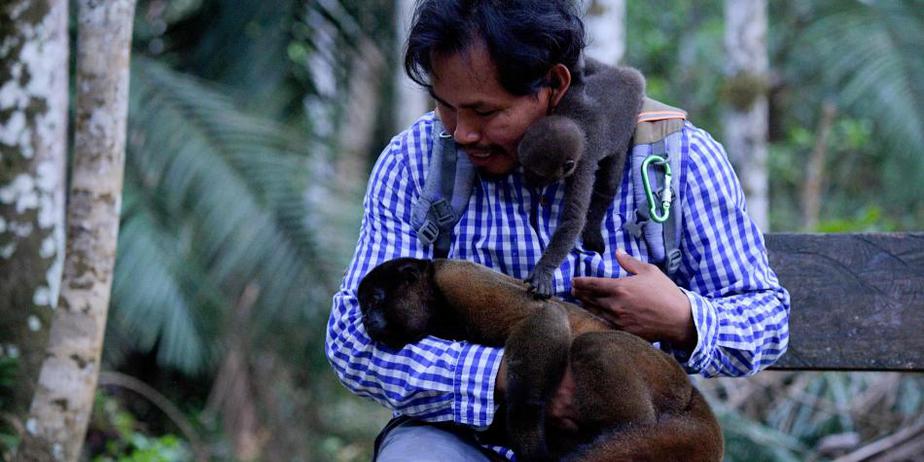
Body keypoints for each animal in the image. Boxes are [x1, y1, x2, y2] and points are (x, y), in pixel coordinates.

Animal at [357, 257, 724, 462]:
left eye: (375, 300)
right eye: (363, 306)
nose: (366, 320)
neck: (436, 305)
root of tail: (692, 394)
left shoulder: (458, 278)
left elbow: (542, 315)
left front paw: (526, 437)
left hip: (661, 378)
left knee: (594, 345)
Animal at [518, 59, 646, 299]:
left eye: (537, 174)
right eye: (524, 167)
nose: (528, 181)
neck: (576, 123)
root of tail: (634, 79)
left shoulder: (583, 165)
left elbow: (574, 219)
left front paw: (543, 270)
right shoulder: (569, 99)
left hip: (626, 132)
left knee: (608, 183)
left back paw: (593, 231)